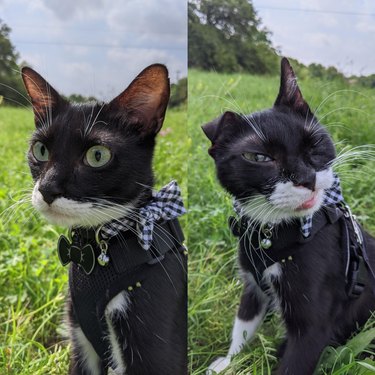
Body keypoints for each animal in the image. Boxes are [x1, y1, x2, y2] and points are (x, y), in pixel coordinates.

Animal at [203, 57, 375, 374]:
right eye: (259, 158)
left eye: (315, 143)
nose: (306, 177)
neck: (275, 232)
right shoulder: (252, 284)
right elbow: (242, 325)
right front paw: (228, 362)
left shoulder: (314, 325)